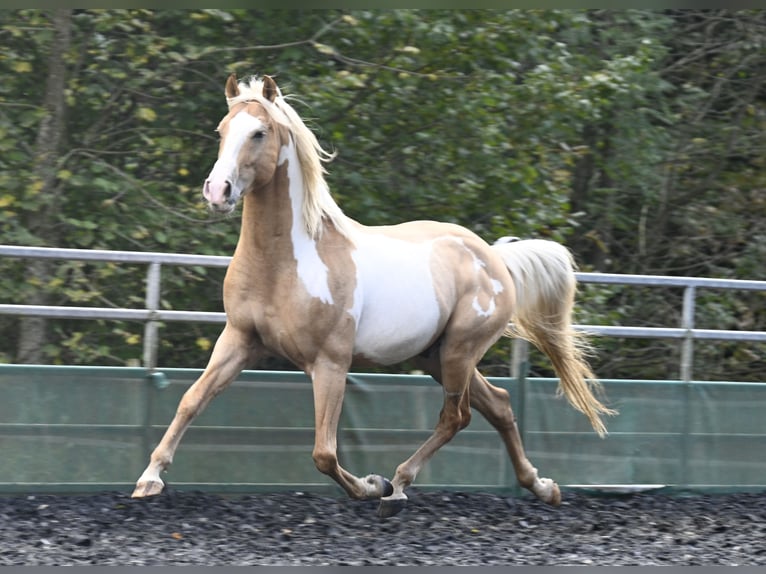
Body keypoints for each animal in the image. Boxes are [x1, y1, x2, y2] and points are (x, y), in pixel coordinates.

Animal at [134, 73, 616, 520]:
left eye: (259, 132)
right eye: (222, 129)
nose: (218, 191)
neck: (286, 262)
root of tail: (493, 257)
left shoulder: (330, 362)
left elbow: (324, 452)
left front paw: (371, 485)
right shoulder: (239, 339)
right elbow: (190, 401)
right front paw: (148, 480)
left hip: (460, 351)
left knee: (456, 416)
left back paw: (396, 485)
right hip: (435, 355)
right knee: (497, 404)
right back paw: (541, 487)